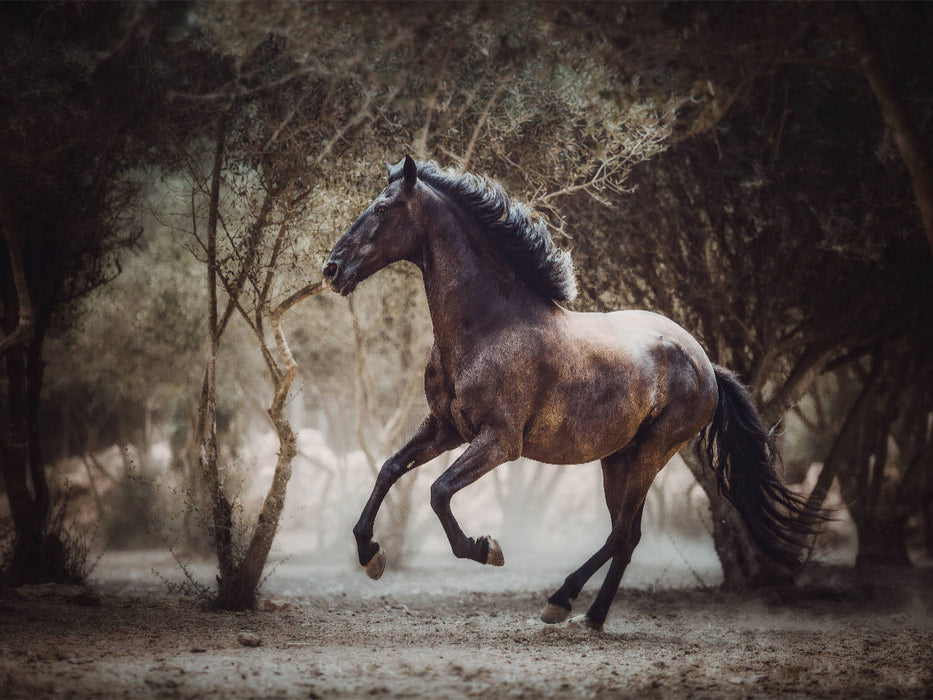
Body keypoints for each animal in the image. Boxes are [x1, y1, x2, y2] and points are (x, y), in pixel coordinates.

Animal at [323, 156, 815, 629]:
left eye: (382, 208)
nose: (331, 269)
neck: (489, 326)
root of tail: (705, 363)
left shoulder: (499, 441)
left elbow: (438, 491)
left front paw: (485, 548)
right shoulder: (445, 427)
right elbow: (390, 469)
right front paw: (370, 554)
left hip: (652, 453)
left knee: (621, 534)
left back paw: (560, 600)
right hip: (619, 457)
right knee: (627, 537)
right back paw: (591, 617)